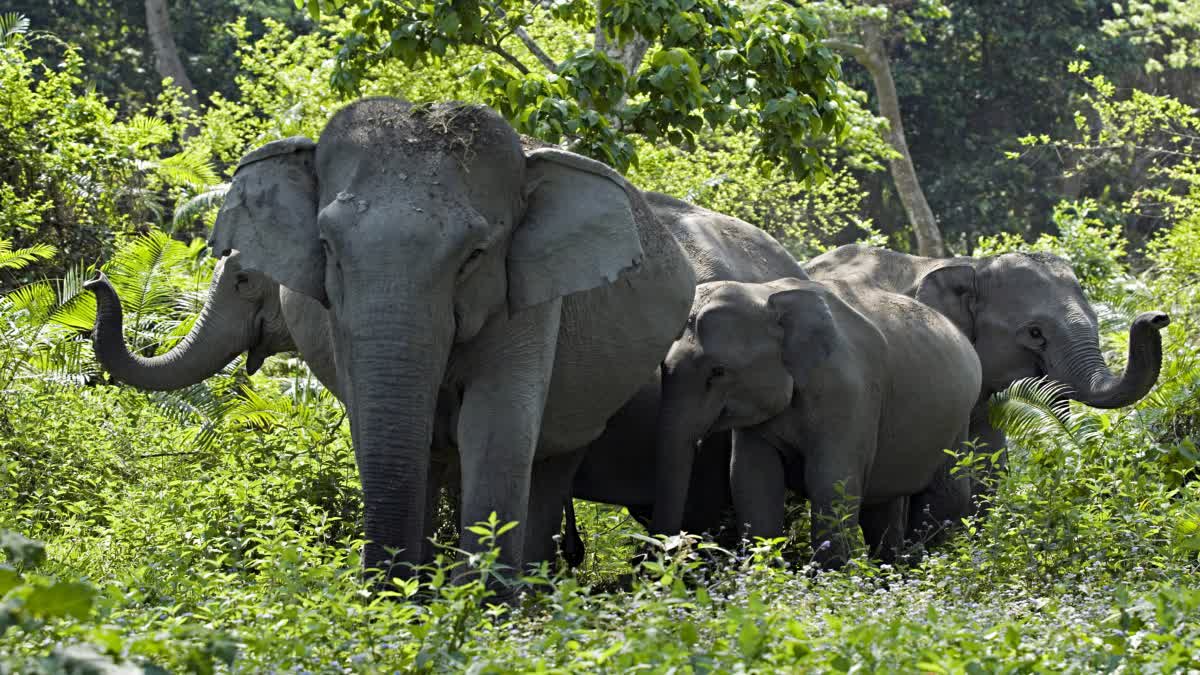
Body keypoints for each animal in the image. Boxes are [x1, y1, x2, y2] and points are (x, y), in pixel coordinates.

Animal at [649, 277, 982, 567]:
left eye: (718, 371)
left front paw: (829, 580)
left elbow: (831, 479)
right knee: (882, 505)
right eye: (663, 366)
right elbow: (750, 475)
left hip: (958, 417)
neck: (766, 295)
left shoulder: (849, 390)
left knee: (944, 496)